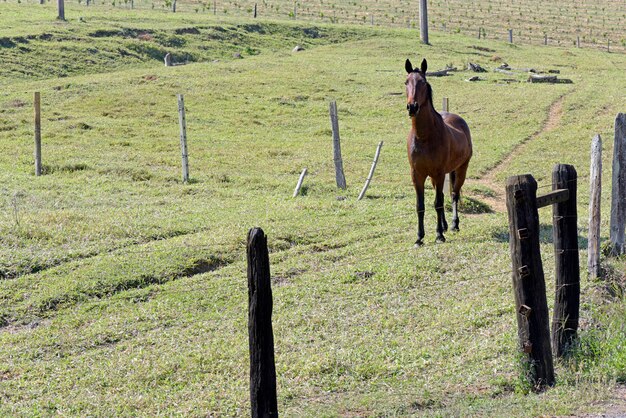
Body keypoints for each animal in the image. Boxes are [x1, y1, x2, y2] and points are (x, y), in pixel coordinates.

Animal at [402, 59, 470, 248]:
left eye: (423, 82)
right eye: (406, 82)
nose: (412, 107)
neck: (424, 136)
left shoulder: (439, 173)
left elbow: (438, 204)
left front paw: (439, 235)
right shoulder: (417, 175)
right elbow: (421, 205)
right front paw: (419, 237)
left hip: (460, 170)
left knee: (453, 195)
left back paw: (453, 224)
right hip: (435, 177)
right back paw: (445, 225)